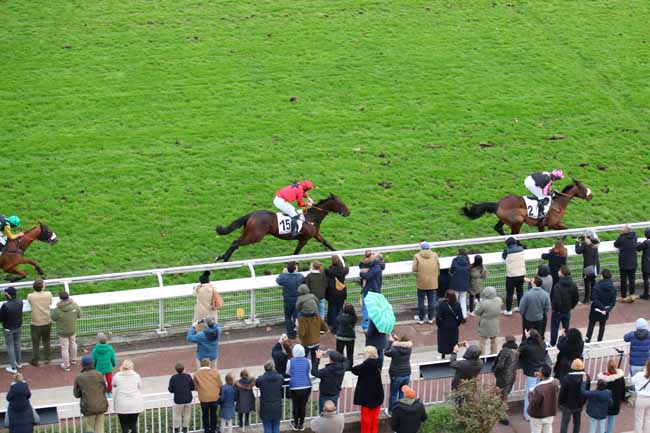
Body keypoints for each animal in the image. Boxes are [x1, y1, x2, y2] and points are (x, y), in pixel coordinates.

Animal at [215, 194, 350, 262]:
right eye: (341, 203)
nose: (348, 212)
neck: (311, 217)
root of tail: (251, 214)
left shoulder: (316, 235)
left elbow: (328, 244)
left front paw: (341, 256)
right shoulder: (304, 239)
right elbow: (295, 253)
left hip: (248, 233)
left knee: (235, 242)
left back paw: (223, 257)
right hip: (255, 236)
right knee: (236, 243)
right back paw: (224, 259)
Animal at [458, 178, 588, 235]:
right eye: (584, 188)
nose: (590, 195)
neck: (558, 203)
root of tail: (498, 204)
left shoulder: (542, 225)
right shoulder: (552, 224)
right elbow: (566, 228)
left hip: (505, 219)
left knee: (498, 228)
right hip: (517, 221)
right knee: (514, 234)